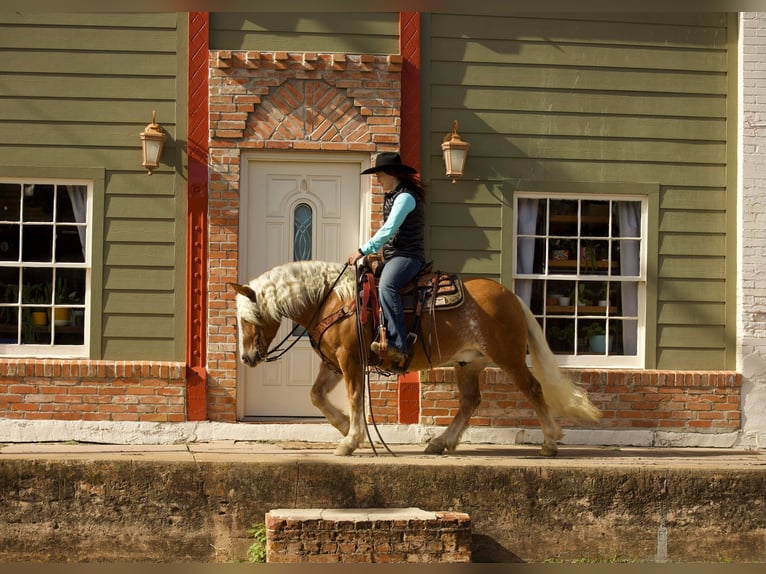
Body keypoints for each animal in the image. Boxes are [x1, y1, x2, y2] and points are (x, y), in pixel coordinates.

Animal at [231, 262, 604, 460]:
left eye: (250, 318)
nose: (247, 357)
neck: (333, 300)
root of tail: (511, 297)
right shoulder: (334, 363)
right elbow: (317, 396)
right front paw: (345, 428)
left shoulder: (350, 360)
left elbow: (354, 397)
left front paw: (351, 439)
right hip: (469, 363)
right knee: (470, 401)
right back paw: (442, 442)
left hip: (509, 358)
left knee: (533, 389)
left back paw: (549, 441)